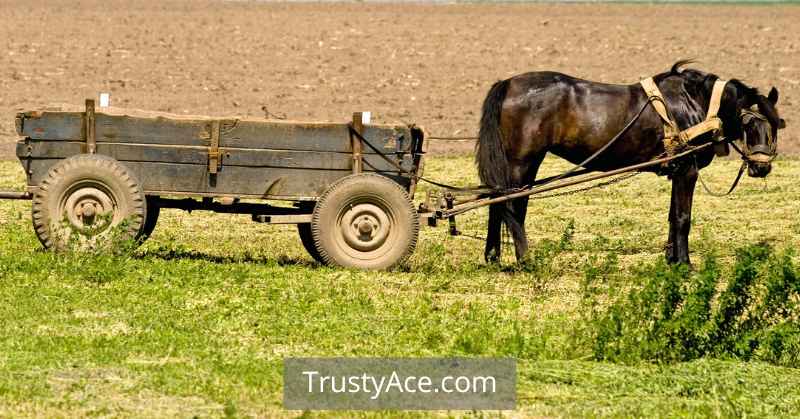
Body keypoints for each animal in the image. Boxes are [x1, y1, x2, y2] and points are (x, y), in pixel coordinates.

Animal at [478, 61, 784, 266]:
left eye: (776, 124)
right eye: (750, 122)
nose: (762, 168)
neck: (695, 103)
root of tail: (509, 83)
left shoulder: (676, 171)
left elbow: (672, 216)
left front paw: (671, 259)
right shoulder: (687, 170)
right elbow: (683, 217)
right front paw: (685, 264)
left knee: (496, 202)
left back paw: (493, 257)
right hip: (522, 162)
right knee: (510, 205)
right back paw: (523, 259)